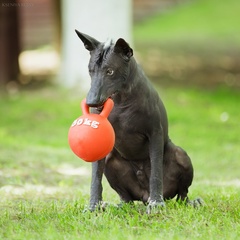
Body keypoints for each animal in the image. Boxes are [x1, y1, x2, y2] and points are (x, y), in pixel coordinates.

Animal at [75, 30, 201, 214]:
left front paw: (156, 204)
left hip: (180, 155)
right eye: (91, 71)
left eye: (110, 71)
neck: (121, 100)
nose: (91, 102)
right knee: (126, 198)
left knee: (182, 194)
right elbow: (95, 179)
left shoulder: (155, 134)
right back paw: (115, 205)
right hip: (112, 162)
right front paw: (93, 207)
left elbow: (156, 172)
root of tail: (144, 195)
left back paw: (190, 202)